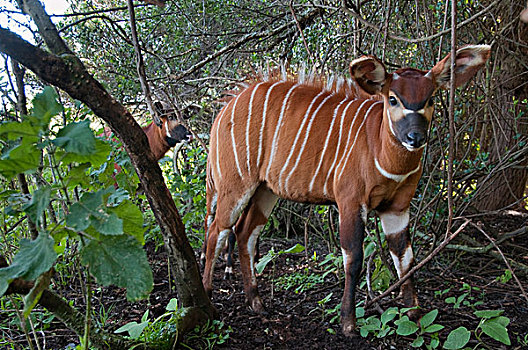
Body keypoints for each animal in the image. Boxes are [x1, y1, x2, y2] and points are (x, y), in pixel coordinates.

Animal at [202, 45, 490, 334]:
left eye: (430, 99)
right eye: (393, 99)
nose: (415, 137)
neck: (381, 150)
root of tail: (224, 109)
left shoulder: (397, 207)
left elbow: (405, 259)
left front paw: (416, 318)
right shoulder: (351, 201)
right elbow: (354, 258)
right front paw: (348, 323)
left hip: (265, 190)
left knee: (244, 233)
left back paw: (256, 302)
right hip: (235, 185)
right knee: (217, 230)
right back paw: (208, 299)